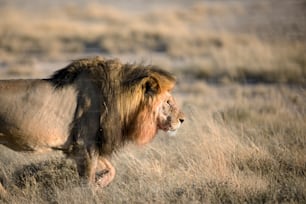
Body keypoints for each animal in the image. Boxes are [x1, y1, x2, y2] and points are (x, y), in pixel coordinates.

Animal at [0, 56, 184, 194]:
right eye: (168, 102)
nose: (183, 119)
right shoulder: (85, 145)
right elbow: (87, 182)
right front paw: (92, 190)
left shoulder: (87, 145)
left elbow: (111, 169)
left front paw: (100, 182)